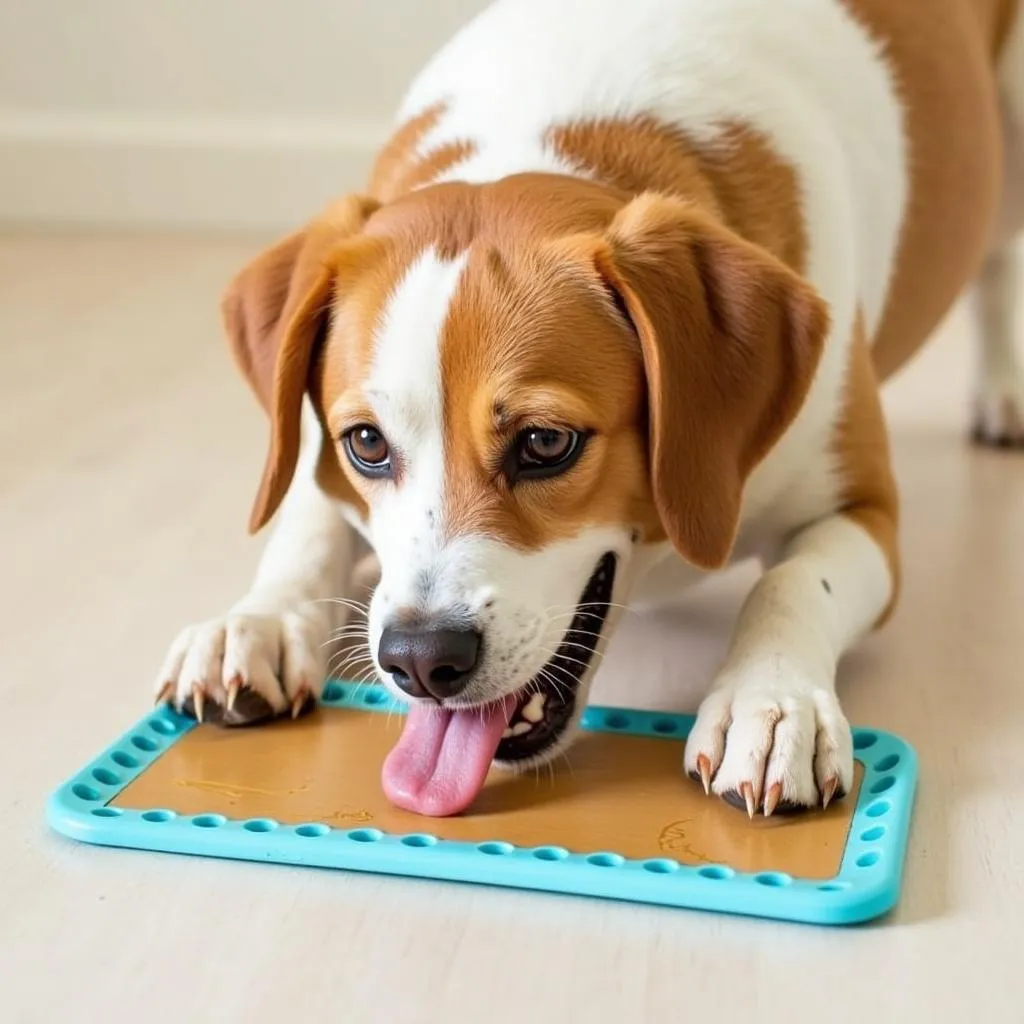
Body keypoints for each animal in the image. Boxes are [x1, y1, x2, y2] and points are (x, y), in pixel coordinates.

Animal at [153, 0, 1024, 815]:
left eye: (546, 444)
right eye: (366, 442)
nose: (420, 659)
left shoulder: (860, 508)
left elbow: (792, 582)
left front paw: (770, 702)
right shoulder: (322, 467)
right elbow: (304, 524)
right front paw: (257, 621)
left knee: (1000, 257)